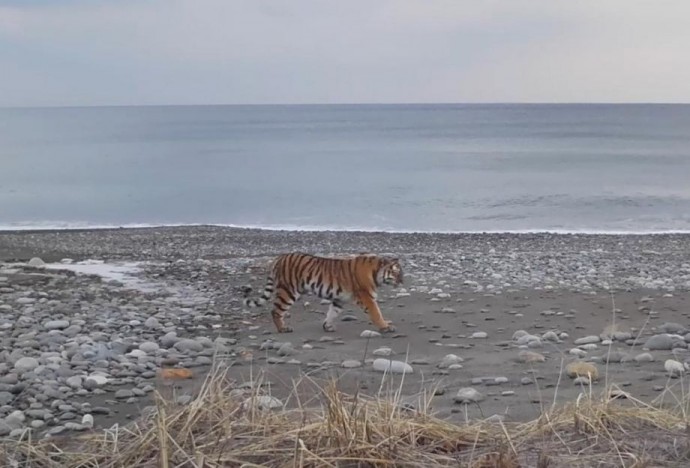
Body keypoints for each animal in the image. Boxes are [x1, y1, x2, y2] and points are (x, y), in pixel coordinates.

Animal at [242, 254, 404, 334]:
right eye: (396, 272)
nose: (402, 281)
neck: (376, 272)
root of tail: (279, 258)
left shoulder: (339, 299)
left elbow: (332, 312)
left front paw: (327, 326)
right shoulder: (367, 297)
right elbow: (376, 313)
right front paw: (386, 327)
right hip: (288, 291)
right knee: (276, 311)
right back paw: (283, 329)